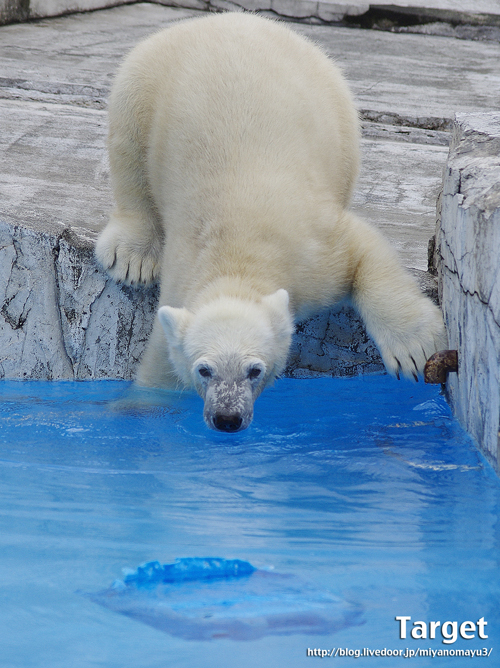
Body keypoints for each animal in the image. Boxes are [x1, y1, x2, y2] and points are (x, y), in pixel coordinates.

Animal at [95, 15, 448, 436]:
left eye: (254, 370)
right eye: (204, 370)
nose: (227, 418)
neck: (238, 253)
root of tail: (222, 18)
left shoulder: (312, 252)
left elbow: (362, 251)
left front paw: (414, 350)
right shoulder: (182, 287)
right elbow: (160, 371)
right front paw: (130, 412)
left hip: (333, 101)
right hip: (150, 72)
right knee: (129, 141)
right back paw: (131, 257)